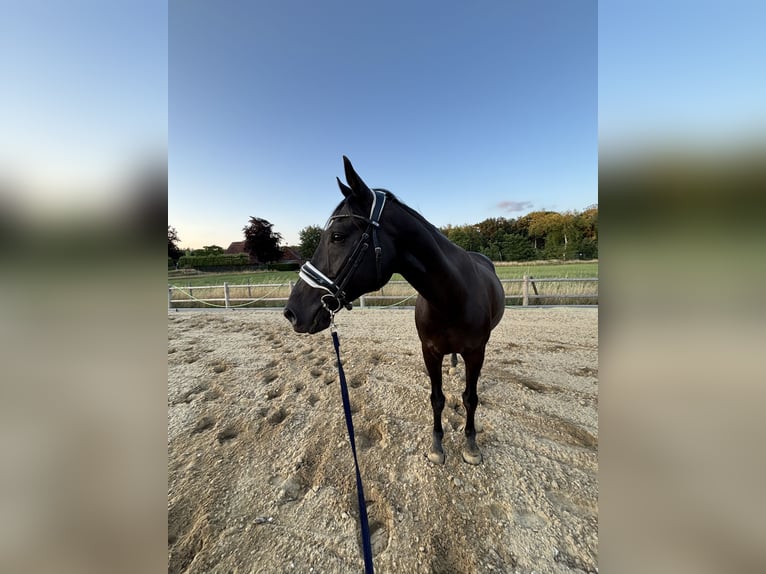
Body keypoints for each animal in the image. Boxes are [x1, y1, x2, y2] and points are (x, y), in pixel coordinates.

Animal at [283, 156, 505, 465]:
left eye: (337, 236)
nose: (292, 312)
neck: (452, 298)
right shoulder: (430, 351)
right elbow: (437, 398)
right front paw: (437, 447)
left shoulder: (476, 352)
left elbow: (470, 398)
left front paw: (471, 445)